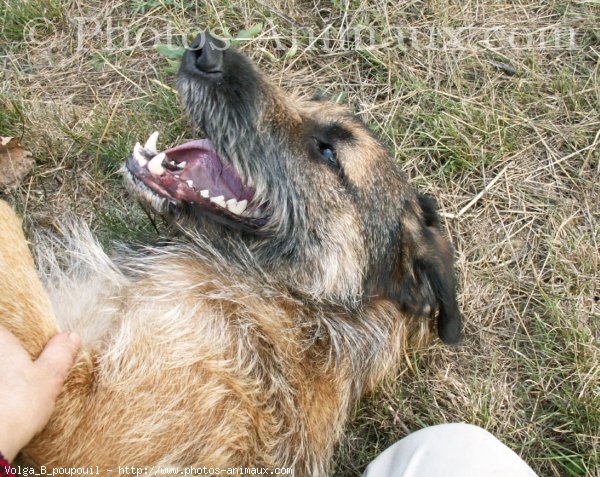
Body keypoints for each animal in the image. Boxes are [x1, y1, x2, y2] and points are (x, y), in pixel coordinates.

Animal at [0, 31, 460, 474]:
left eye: (328, 151)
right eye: (306, 101)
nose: (205, 49)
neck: (296, 298)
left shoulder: (76, 422)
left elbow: (10, 240)